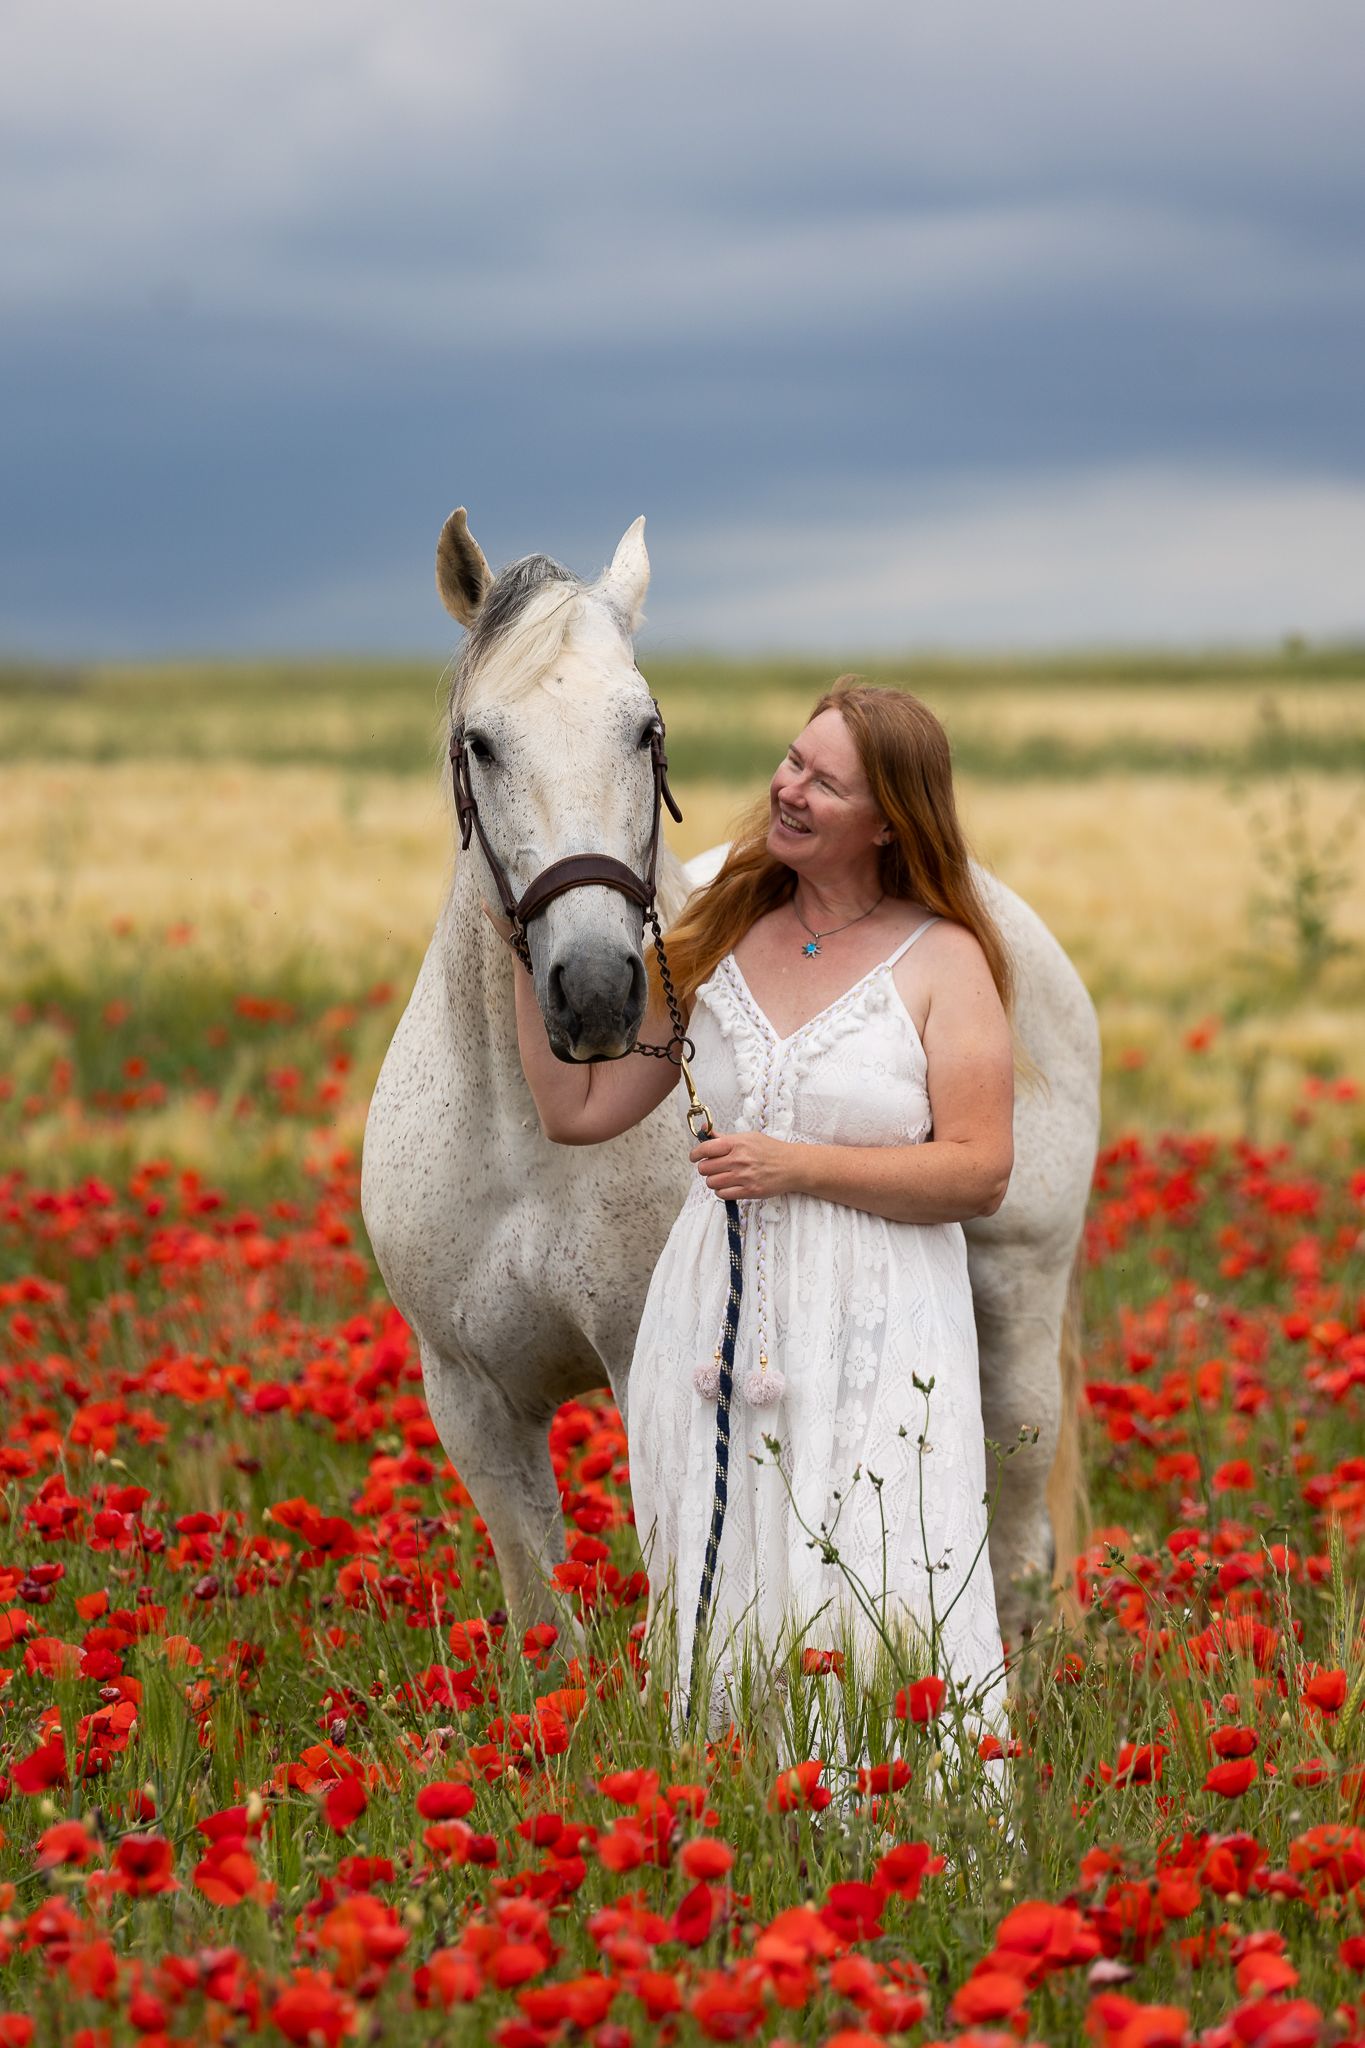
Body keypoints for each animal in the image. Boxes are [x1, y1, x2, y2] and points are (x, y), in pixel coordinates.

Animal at [360, 509, 1101, 1667]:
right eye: (480, 740)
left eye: (646, 729)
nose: (594, 992)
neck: (525, 1142)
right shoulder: (471, 1399)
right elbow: (545, 1621)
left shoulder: (644, 1367)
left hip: (1020, 1298)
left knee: (1020, 1516)